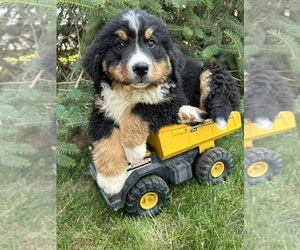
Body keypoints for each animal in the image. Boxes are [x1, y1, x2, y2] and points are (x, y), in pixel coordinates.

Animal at [82, 8, 241, 194]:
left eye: (151, 43)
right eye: (120, 45)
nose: (141, 68)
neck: (131, 91)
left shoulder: (172, 99)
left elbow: (139, 109)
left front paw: (133, 150)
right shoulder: (101, 109)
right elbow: (104, 135)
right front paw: (110, 178)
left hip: (212, 71)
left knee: (213, 107)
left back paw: (188, 113)